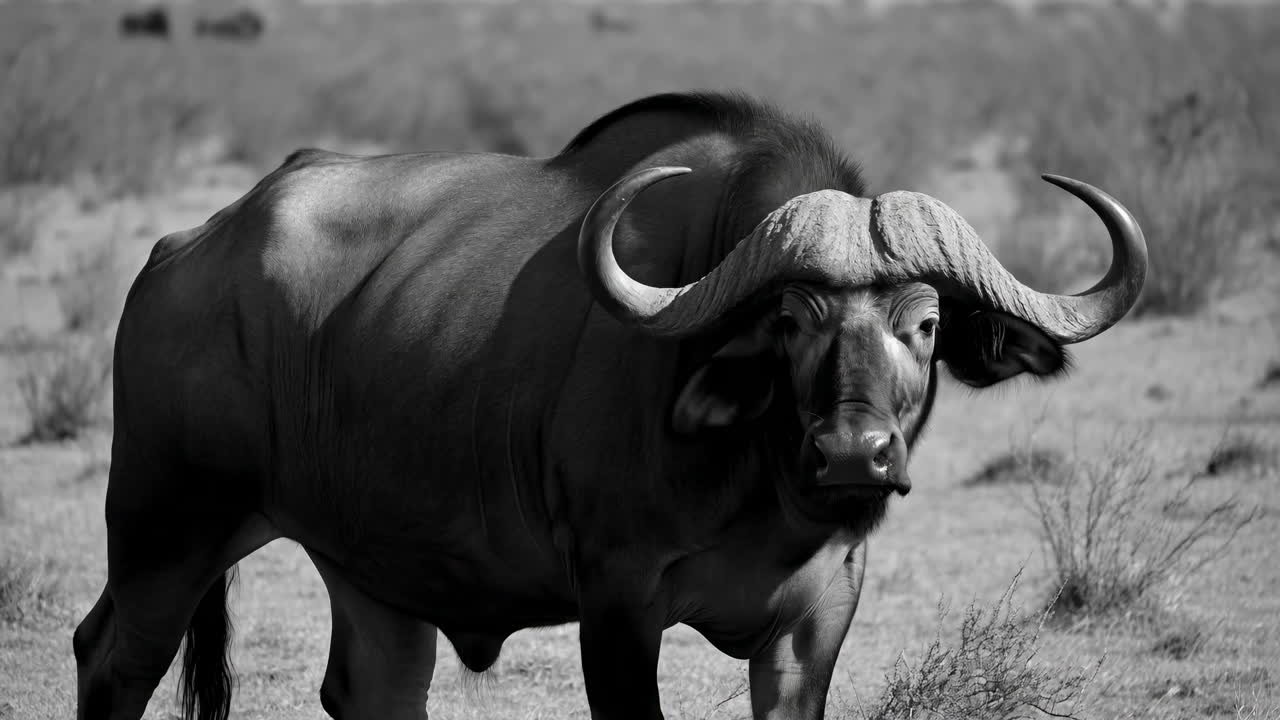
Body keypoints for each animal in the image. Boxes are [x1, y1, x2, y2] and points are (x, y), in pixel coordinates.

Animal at [74, 92, 1146, 720]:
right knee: (110, 658)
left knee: (369, 688)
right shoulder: (617, 603)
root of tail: (183, 254)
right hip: (167, 530)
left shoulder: (817, 620)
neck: (763, 493)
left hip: (369, 577)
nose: (855, 454)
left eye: (925, 323)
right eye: (790, 318)